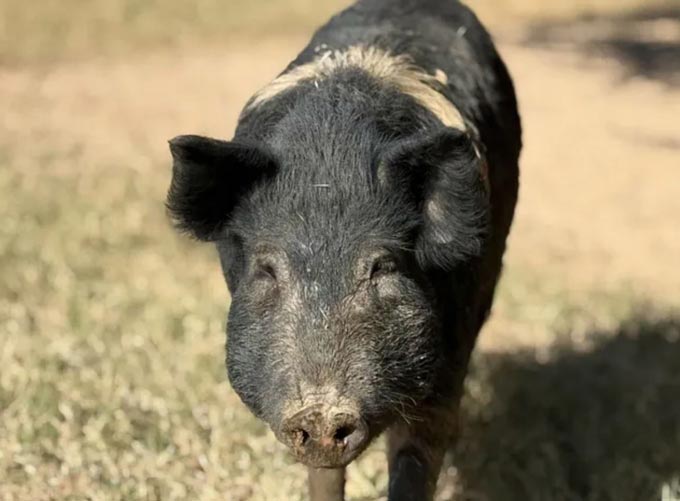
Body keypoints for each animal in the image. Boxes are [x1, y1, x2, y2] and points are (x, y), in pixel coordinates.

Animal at [166, 0, 521, 499]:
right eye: (267, 269)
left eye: (383, 266)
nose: (320, 412)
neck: (331, 161)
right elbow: (323, 474)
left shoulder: (452, 342)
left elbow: (418, 451)